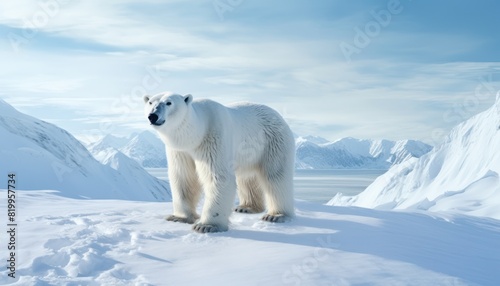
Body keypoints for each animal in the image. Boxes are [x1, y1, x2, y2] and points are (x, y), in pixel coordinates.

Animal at [143, 91, 294, 232]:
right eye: (150, 102)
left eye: (169, 102)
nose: (153, 116)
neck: (196, 134)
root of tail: (278, 115)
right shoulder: (180, 150)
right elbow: (183, 177)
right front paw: (179, 217)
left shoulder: (213, 138)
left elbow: (218, 177)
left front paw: (206, 226)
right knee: (247, 177)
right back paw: (246, 207)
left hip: (272, 142)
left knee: (275, 175)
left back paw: (276, 215)